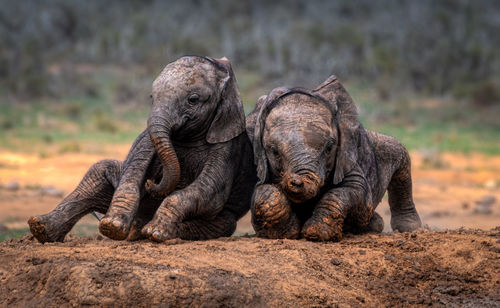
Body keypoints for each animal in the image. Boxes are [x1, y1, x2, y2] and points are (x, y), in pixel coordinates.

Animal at [28, 55, 256, 243]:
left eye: (193, 100)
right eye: (152, 97)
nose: (151, 183)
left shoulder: (228, 148)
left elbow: (209, 190)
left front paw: (156, 232)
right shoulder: (145, 137)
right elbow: (133, 171)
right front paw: (112, 226)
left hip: (225, 221)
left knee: (222, 224)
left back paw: (148, 231)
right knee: (99, 171)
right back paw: (41, 228)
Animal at [246, 76, 422, 242]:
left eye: (330, 147)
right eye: (274, 151)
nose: (295, 181)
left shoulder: (348, 158)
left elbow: (354, 190)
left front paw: (316, 233)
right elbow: (263, 192)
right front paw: (285, 233)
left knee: (399, 154)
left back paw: (408, 229)